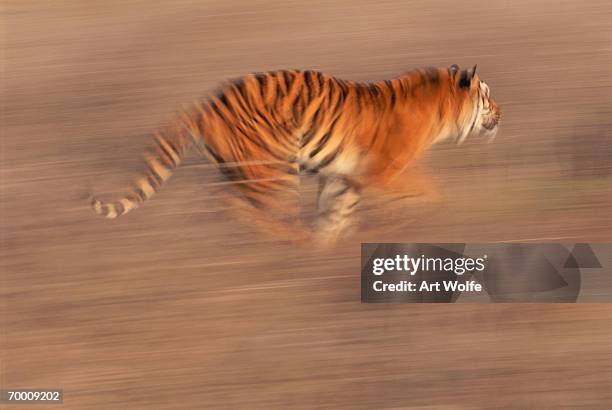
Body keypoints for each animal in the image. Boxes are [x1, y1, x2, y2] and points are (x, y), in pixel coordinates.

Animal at [92, 64, 502, 243]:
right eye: (487, 95)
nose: (501, 112)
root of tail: (202, 104)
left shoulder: (342, 176)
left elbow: (336, 215)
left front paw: (329, 251)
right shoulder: (383, 170)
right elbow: (433, 191)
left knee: (224, 200)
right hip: (273, 170)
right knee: (238, 204)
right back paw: (291, 240)